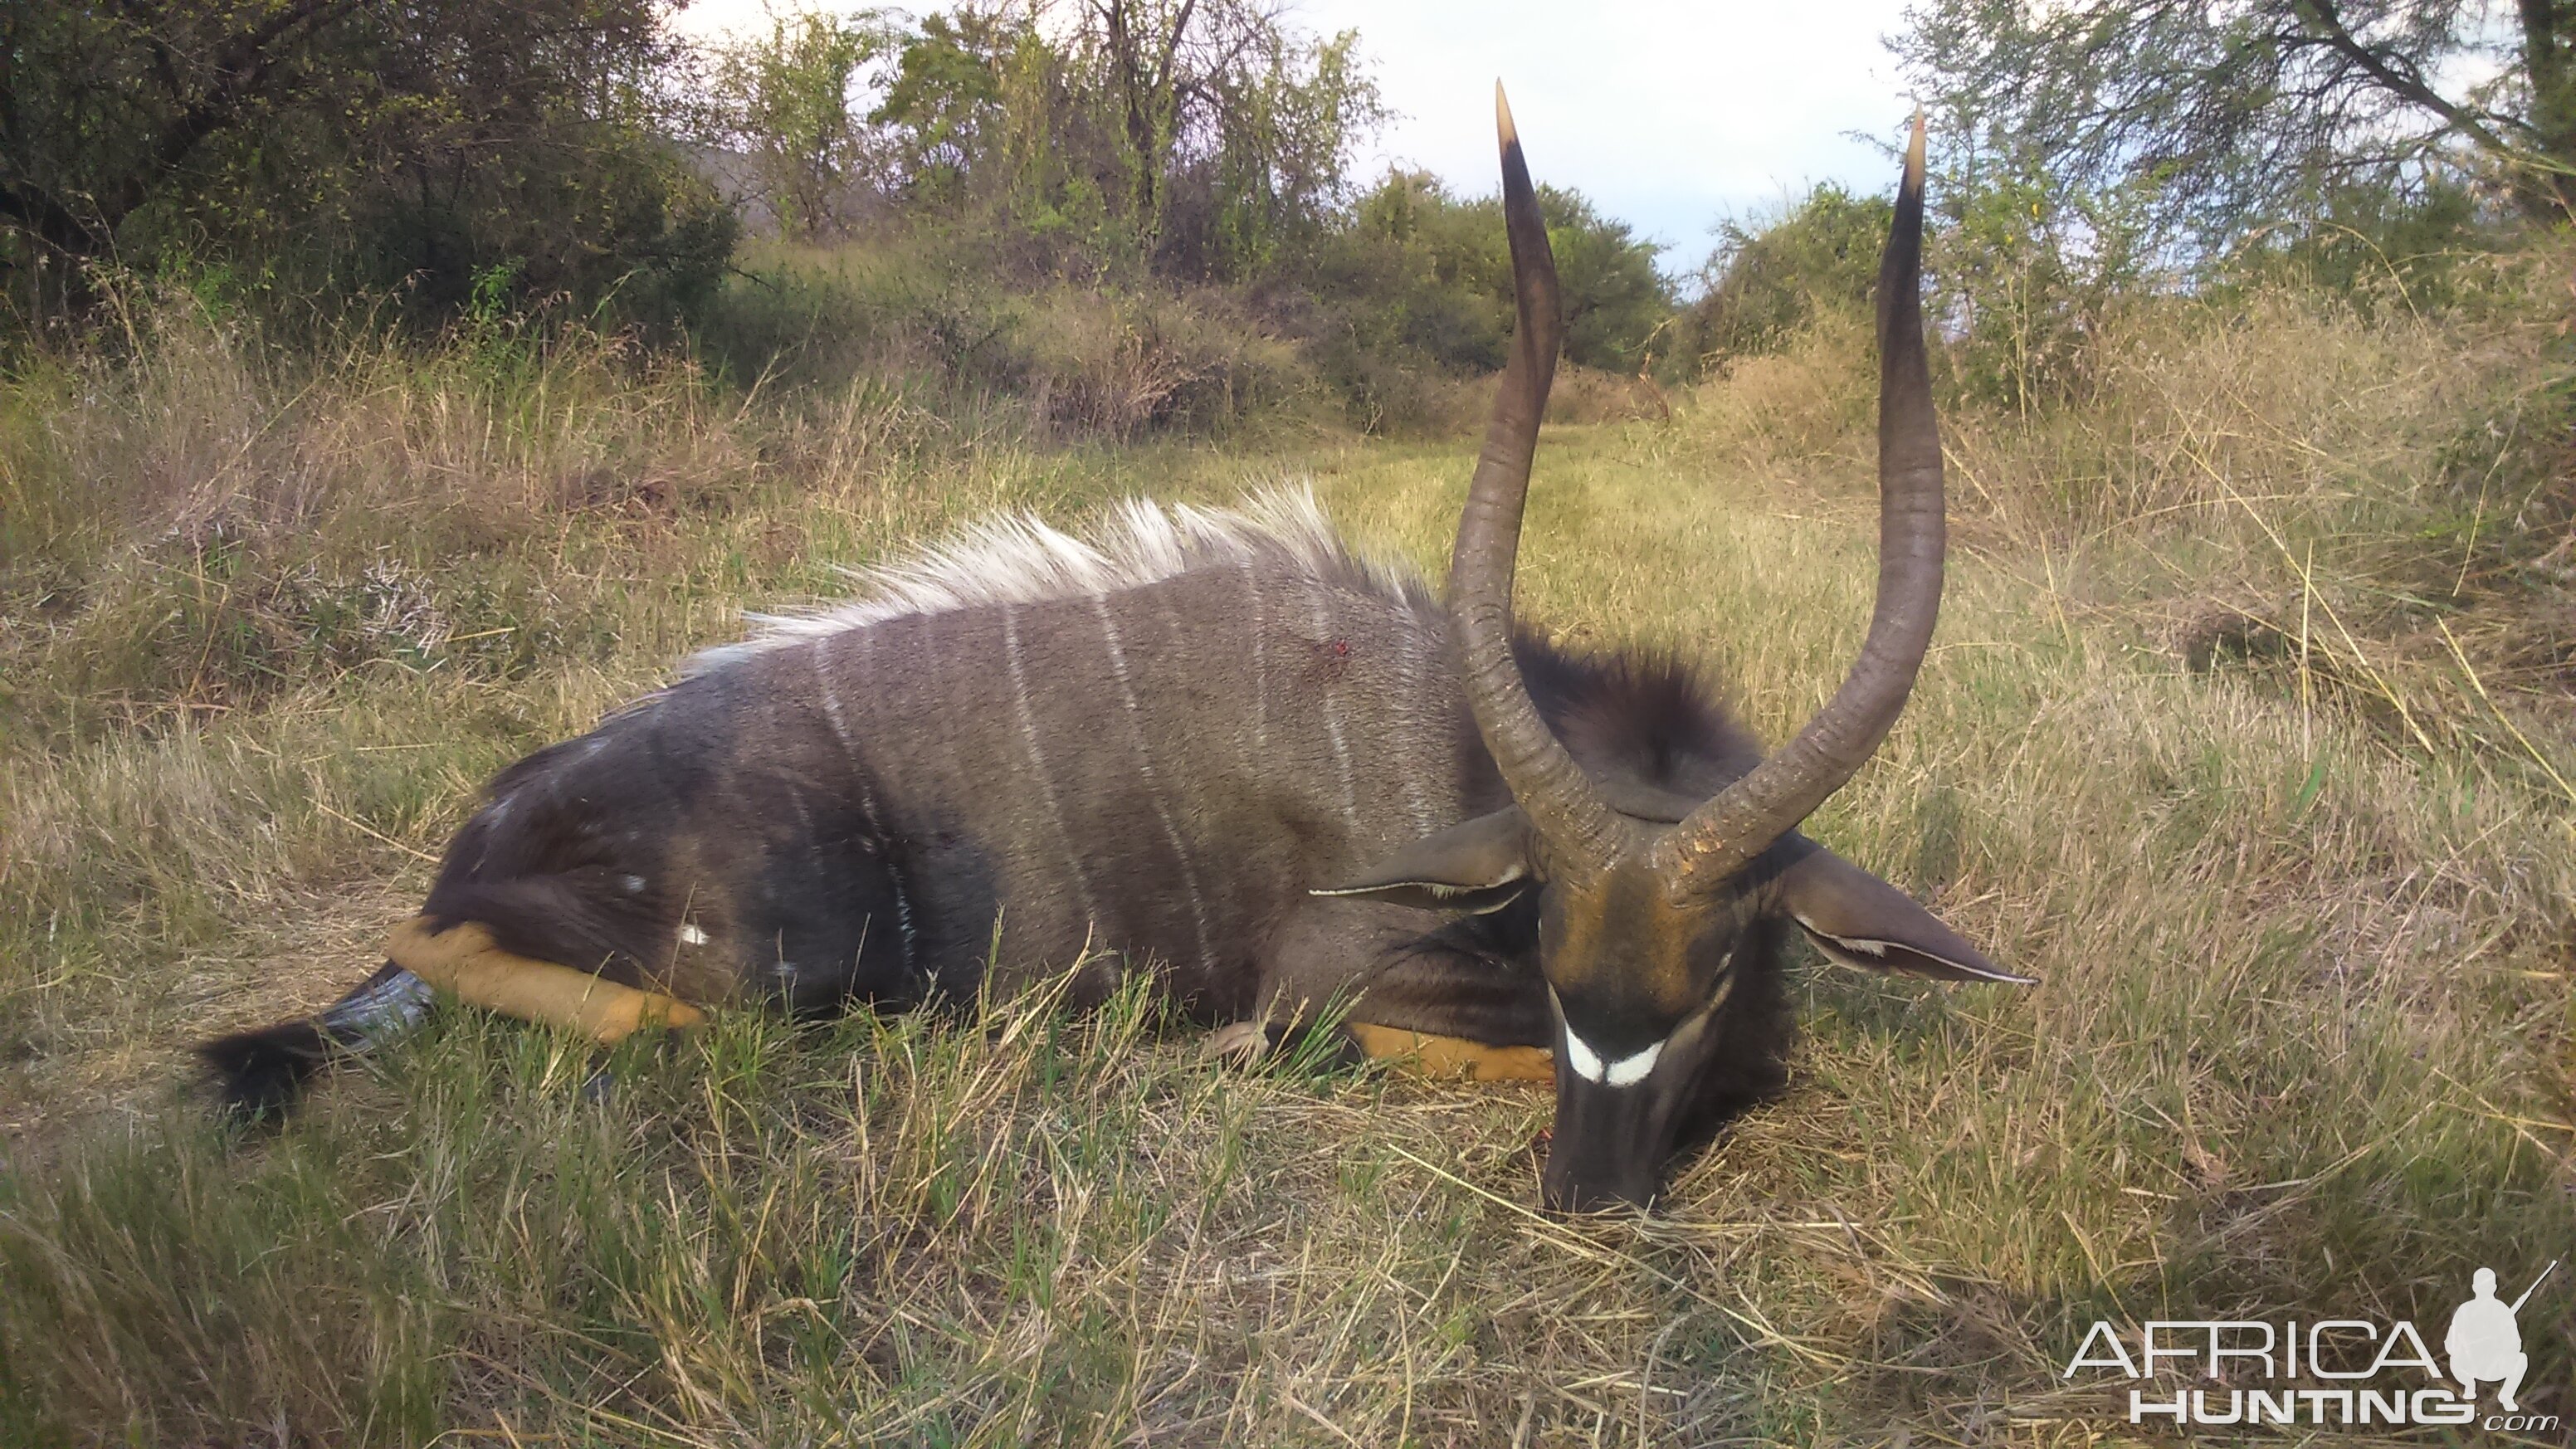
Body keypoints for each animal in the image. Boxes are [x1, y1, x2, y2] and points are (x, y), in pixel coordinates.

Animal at [201, 95, 2019, 1206]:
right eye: (1562, 962)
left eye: (1706, 975)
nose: (1588, 1196)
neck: (1464, 738)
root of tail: (479, 835)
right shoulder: (1345, 979)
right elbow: (1355, 1034)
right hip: (770, 958)